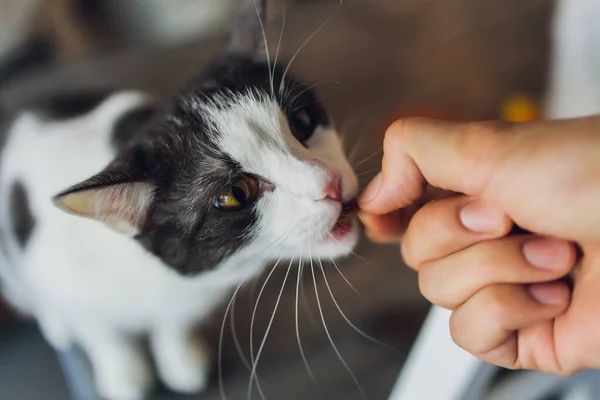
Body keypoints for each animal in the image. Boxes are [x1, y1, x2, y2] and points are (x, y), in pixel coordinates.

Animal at [0, 0, 356, 400]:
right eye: (235, 195)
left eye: (302, 122)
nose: (331, 184)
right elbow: (102, 333)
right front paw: (123, 373)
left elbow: (173, 323)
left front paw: (179, 356)